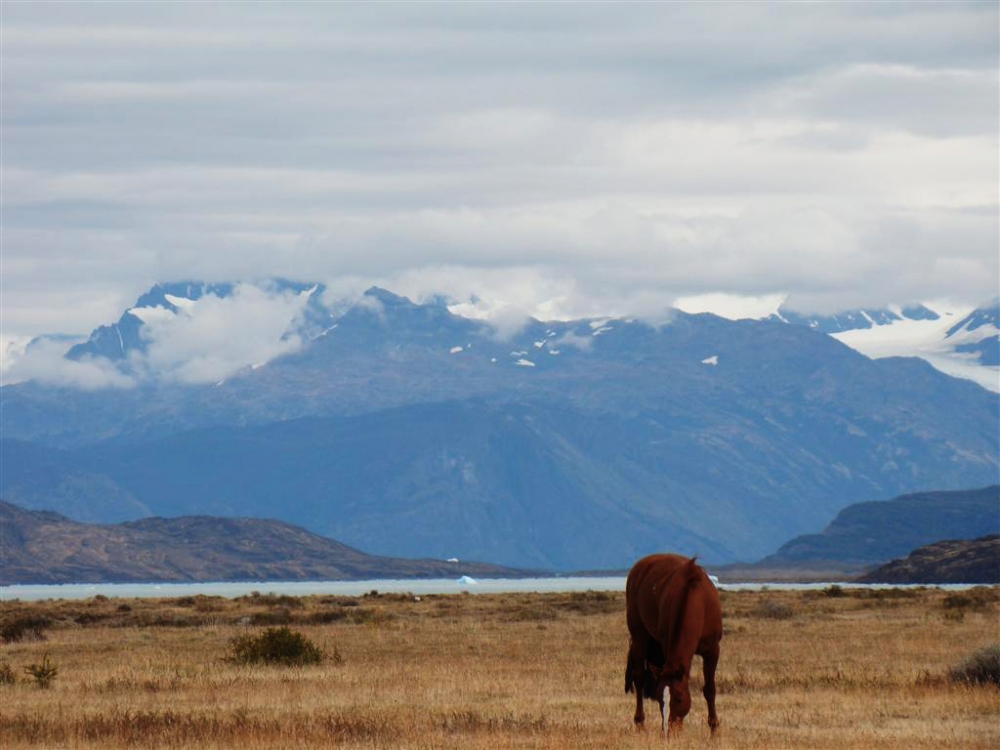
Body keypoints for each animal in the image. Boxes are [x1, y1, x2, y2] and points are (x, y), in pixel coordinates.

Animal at [620, 556, 724, 736]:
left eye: (679, 698)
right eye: (659, 699)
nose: (669, 730)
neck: (696, 599)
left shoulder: (712, 650)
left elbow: (710, 689)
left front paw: (714, 729)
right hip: (640, 637)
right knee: (639, 678)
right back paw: (640, 722)